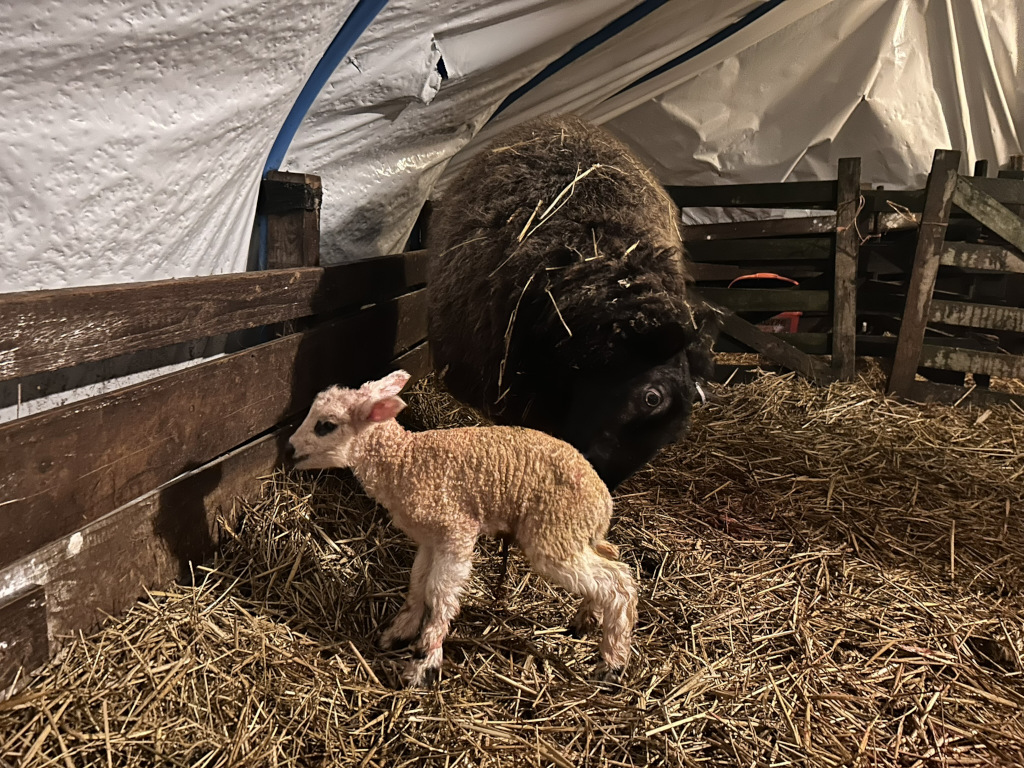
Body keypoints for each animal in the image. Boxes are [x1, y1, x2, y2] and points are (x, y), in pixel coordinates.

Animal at [287, 370, 638, 687]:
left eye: (326, 426)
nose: (289, 447)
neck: (402, 463)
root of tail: (603, 500)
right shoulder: (429, 539)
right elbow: (418, 583)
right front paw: (401, 631)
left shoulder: (456, 531)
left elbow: (439, 593)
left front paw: (424, 661)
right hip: (575, 533)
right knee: (612, 557)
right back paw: (585, 620)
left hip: (555, 532)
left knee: (618, 583)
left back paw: (612, 665)